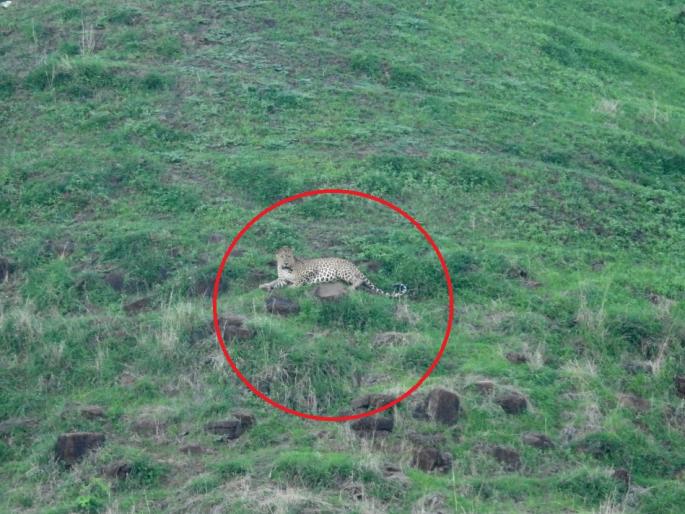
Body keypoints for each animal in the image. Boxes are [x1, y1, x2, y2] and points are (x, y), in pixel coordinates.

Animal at [259, 247, 407, 297]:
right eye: (282, 256)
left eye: (289, 256)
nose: (285, 263)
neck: (285, 268)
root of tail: (352, 263)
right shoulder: (282, 279)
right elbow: (274, 282)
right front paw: (264, 285)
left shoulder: (310, 271)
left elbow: (299, 281)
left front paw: (293, 287)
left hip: (342, 271)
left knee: (358, 280)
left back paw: (351, 288)